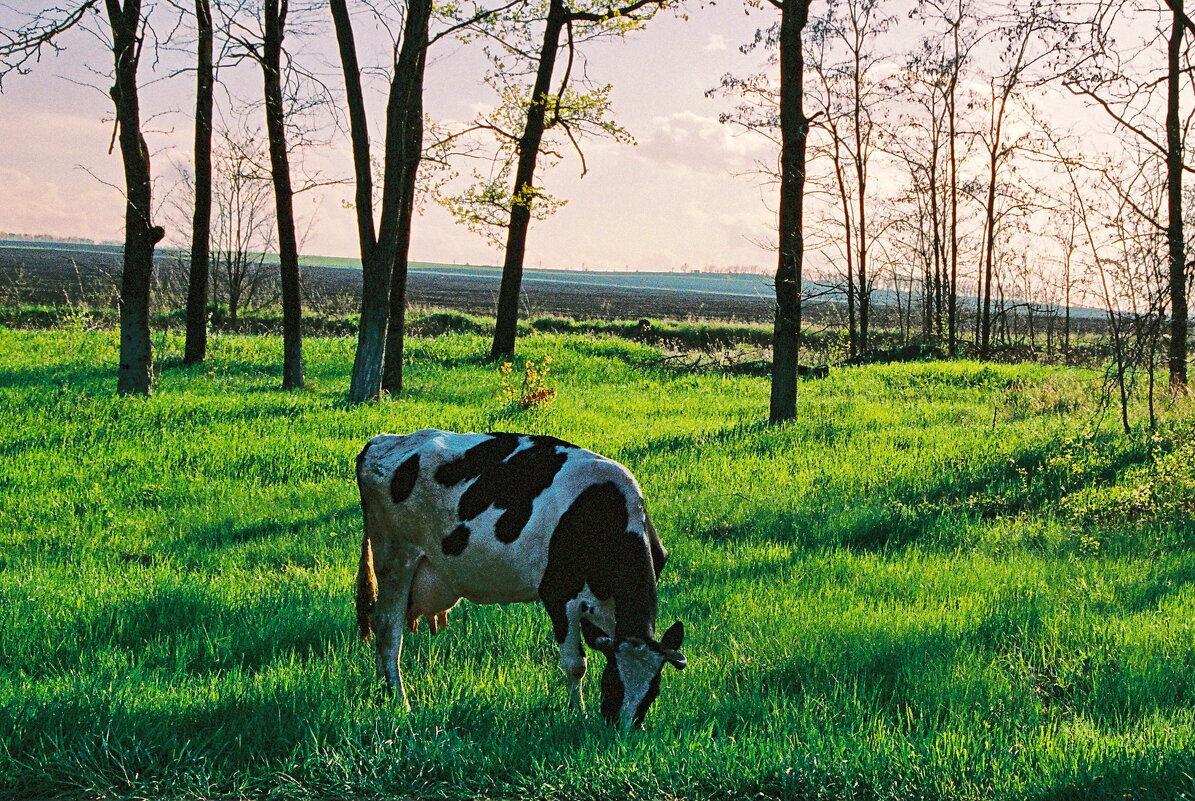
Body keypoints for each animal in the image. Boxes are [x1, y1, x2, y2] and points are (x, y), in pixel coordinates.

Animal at [353, 430, 688, 731]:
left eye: (654, 689)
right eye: (613, 681)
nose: (623, 729)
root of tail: (382, 441)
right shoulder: (557, 594)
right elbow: (576, 663)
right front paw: (579, 714)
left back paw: (384, 688)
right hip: (395, 556)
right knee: (388, 627)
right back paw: (400, 700)